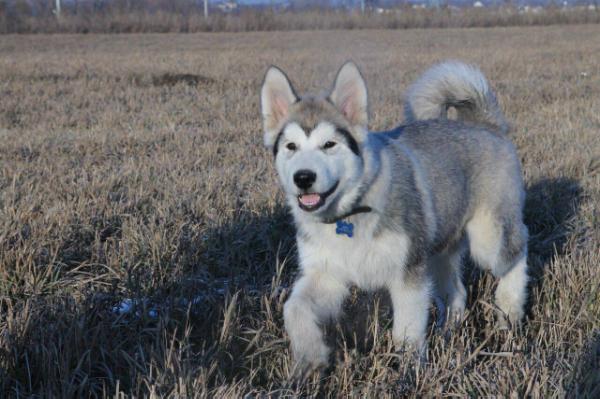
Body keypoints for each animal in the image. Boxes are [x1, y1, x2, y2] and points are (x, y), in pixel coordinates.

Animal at [260, 61, 528, 374]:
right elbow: (293, 308)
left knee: (517, 252)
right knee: (457, 292)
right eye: (290, 146)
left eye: (329, 144)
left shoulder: (408, 275)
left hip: (488, 239)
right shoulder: (327, 275)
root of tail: (483, 124)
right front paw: (310, 357)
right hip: (437, 251)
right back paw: (449, 332)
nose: (303, 178)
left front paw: (410, 372)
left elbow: (407, 332)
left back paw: (508, 314)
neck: (350, 214)